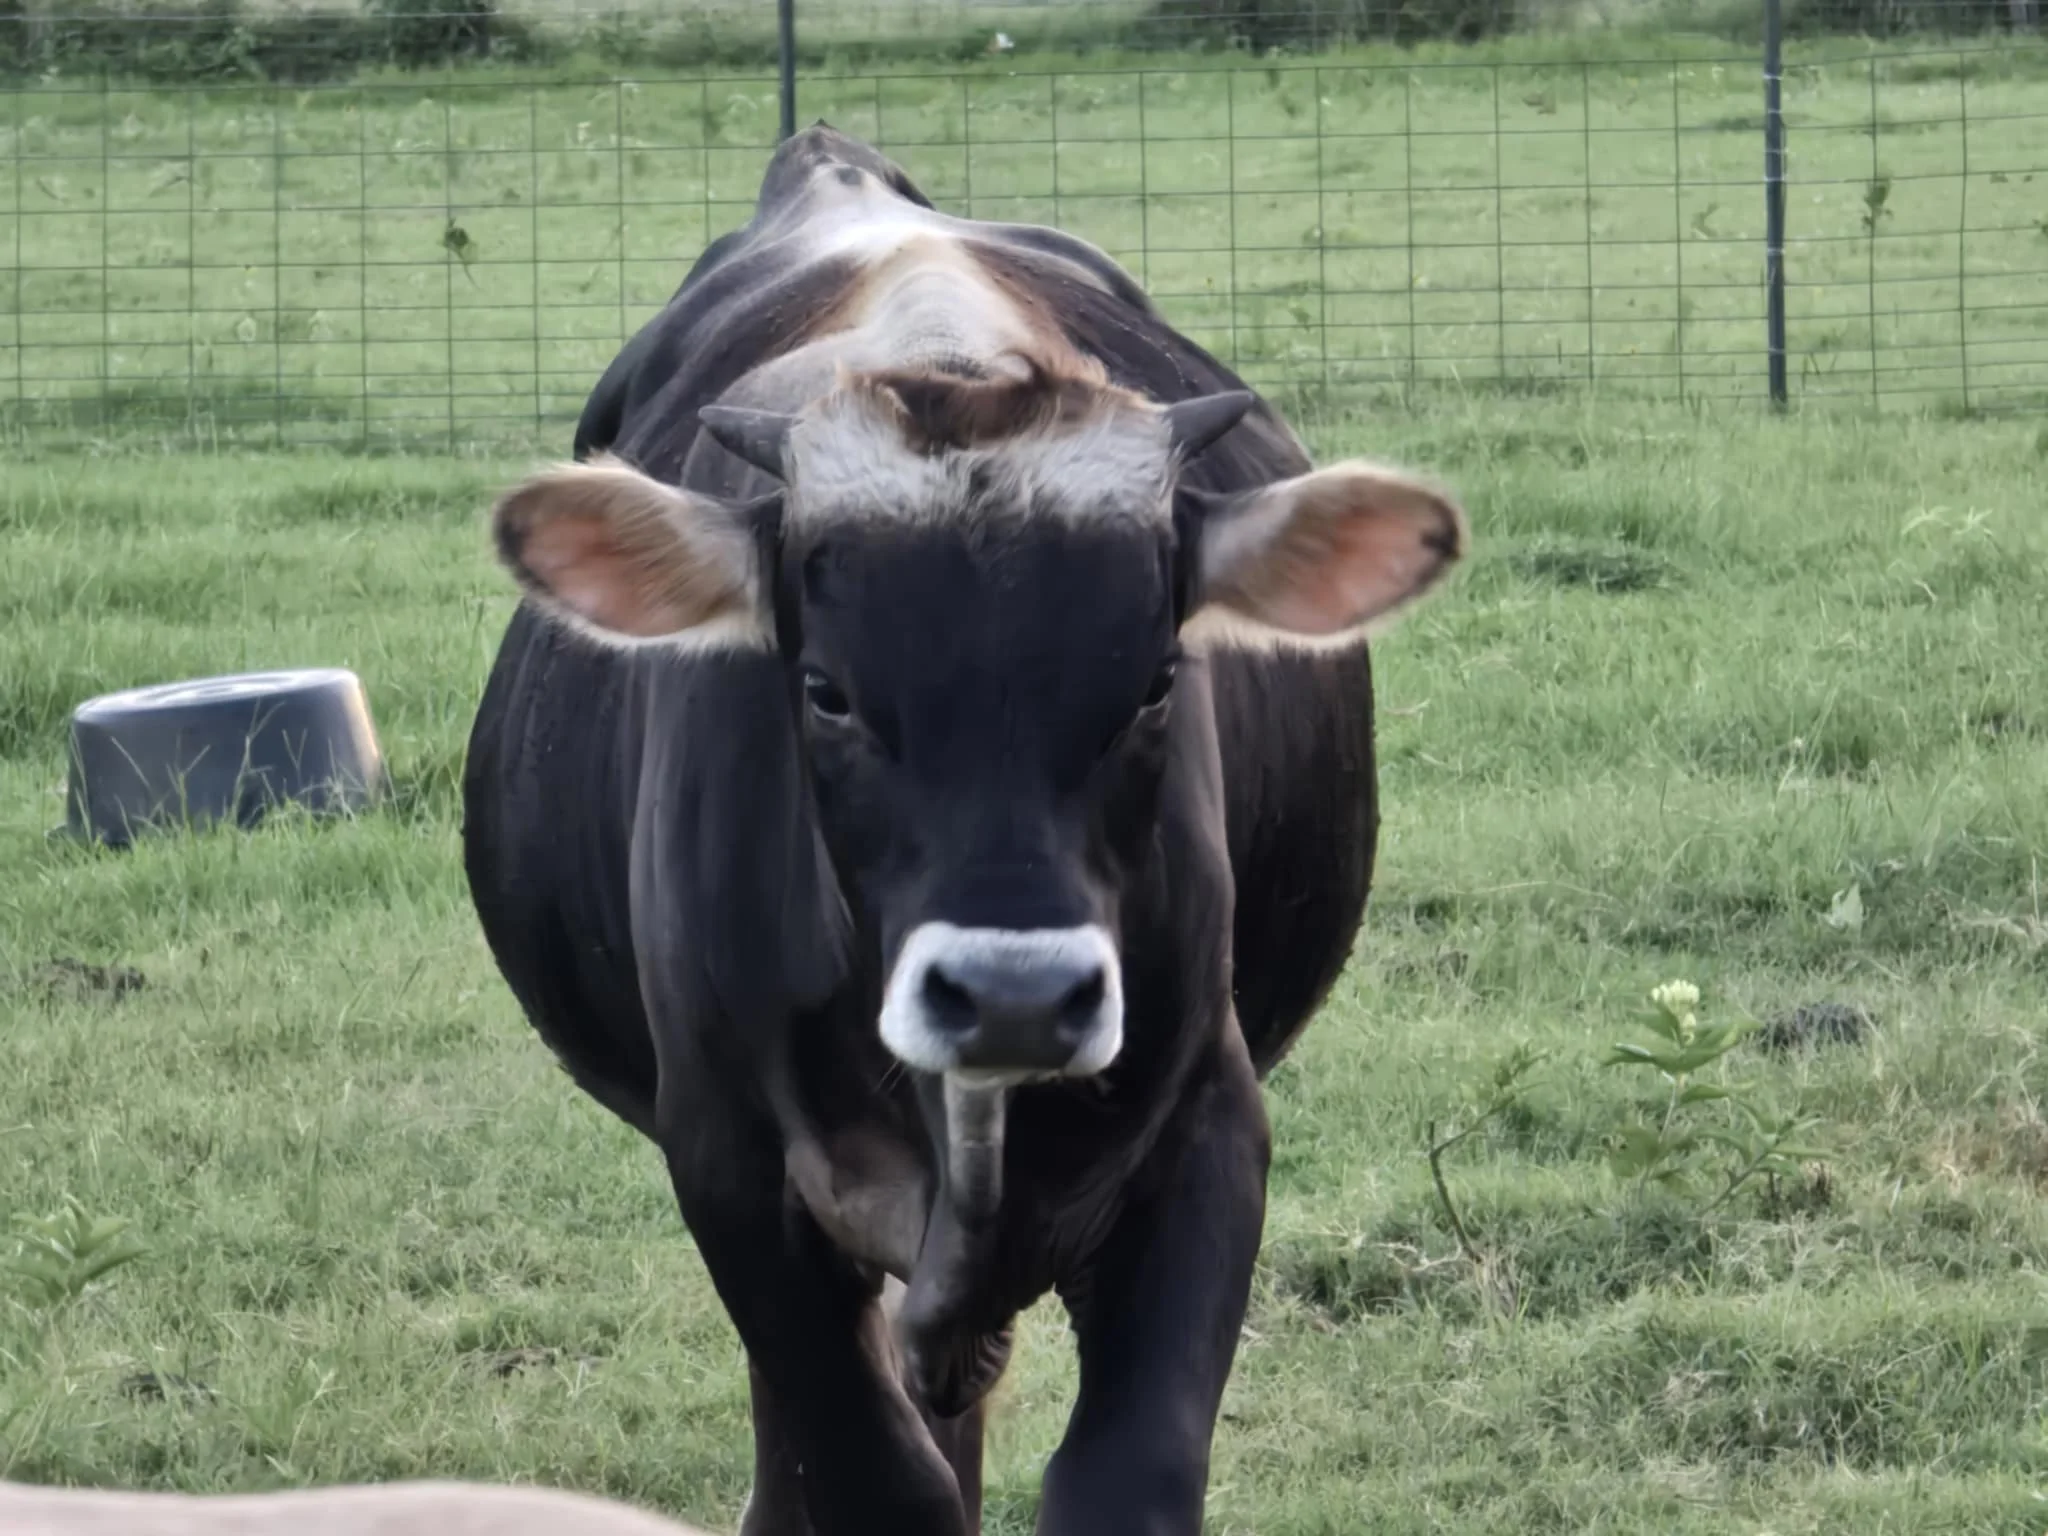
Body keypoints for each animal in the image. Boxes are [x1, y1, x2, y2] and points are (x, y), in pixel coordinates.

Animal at [461, 123, 1466, 1536]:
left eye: (1155, 679)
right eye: (824, 689)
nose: (1012, 997)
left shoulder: (1205, 1136)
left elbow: (1117, 1479)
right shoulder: (731, 1166)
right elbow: (869, 1477)